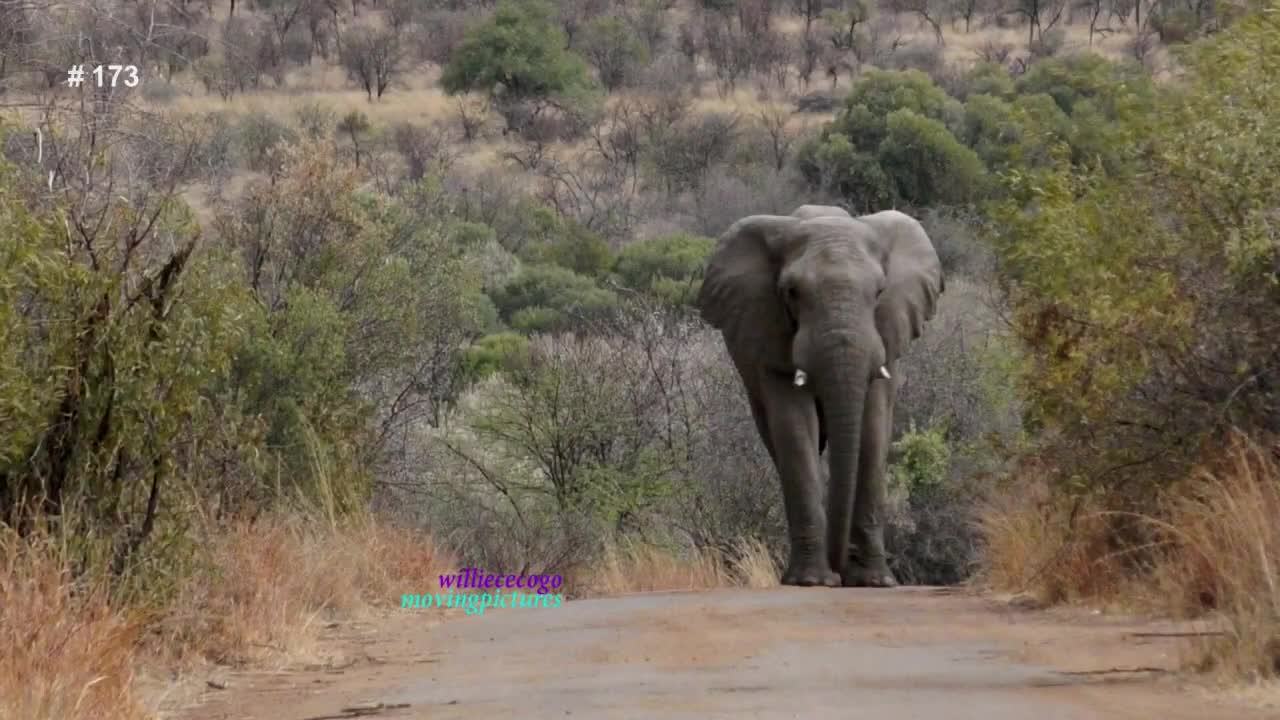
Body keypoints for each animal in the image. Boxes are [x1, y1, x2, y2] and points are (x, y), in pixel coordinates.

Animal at [701, 204, 942, 586]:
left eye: (879, 292)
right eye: (791, 292)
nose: (840, 567)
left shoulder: (887, 335)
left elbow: (874, 428)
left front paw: (874, 581)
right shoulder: (770, 334)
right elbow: (796, 429)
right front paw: (812, 582)